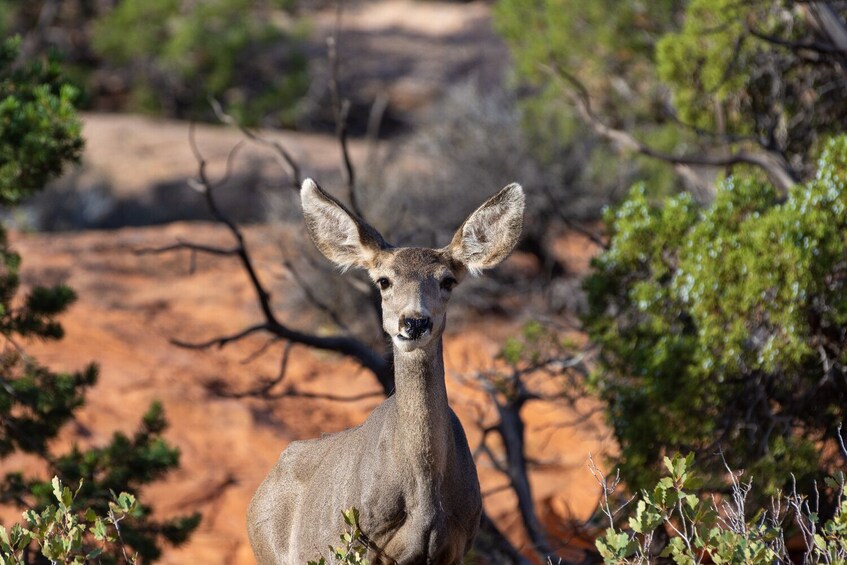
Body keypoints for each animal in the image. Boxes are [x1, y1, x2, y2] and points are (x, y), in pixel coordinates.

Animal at [247, 177, 524, 564]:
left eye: (447, 281)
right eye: (383, 281)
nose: (414, 322)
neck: (424, 491)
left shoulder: (456, 545)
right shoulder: (363, 543)